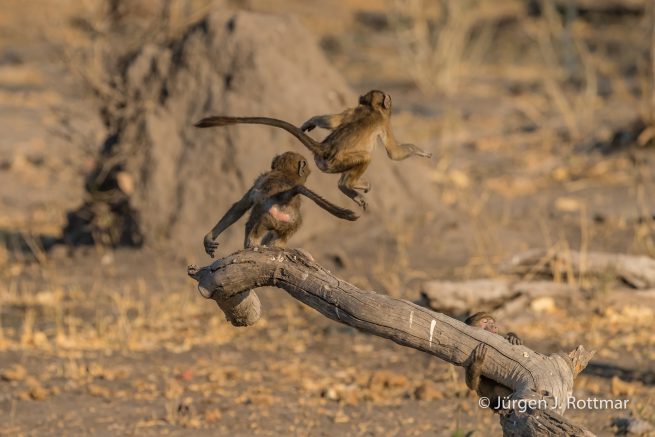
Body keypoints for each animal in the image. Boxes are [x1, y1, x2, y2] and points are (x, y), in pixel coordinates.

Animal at [195, 90, 432, 210]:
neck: (371, 108)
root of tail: (324, 147)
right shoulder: (384, 122)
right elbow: (393, 153)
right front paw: (421, 152)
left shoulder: (351, 111)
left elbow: (333, 120)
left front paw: (310, 122)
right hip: (334, 163)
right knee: (365, 158)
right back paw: (348, 186)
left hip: (324, 163)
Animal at [203, 151, 358, 257]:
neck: (285, 173)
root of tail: (284, 199)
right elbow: (241, 205)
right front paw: (209, 238)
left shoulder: (260, 180)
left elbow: (241, 205)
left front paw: (209, 238)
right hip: (287, 223)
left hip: (280, 221)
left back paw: (254, 243)